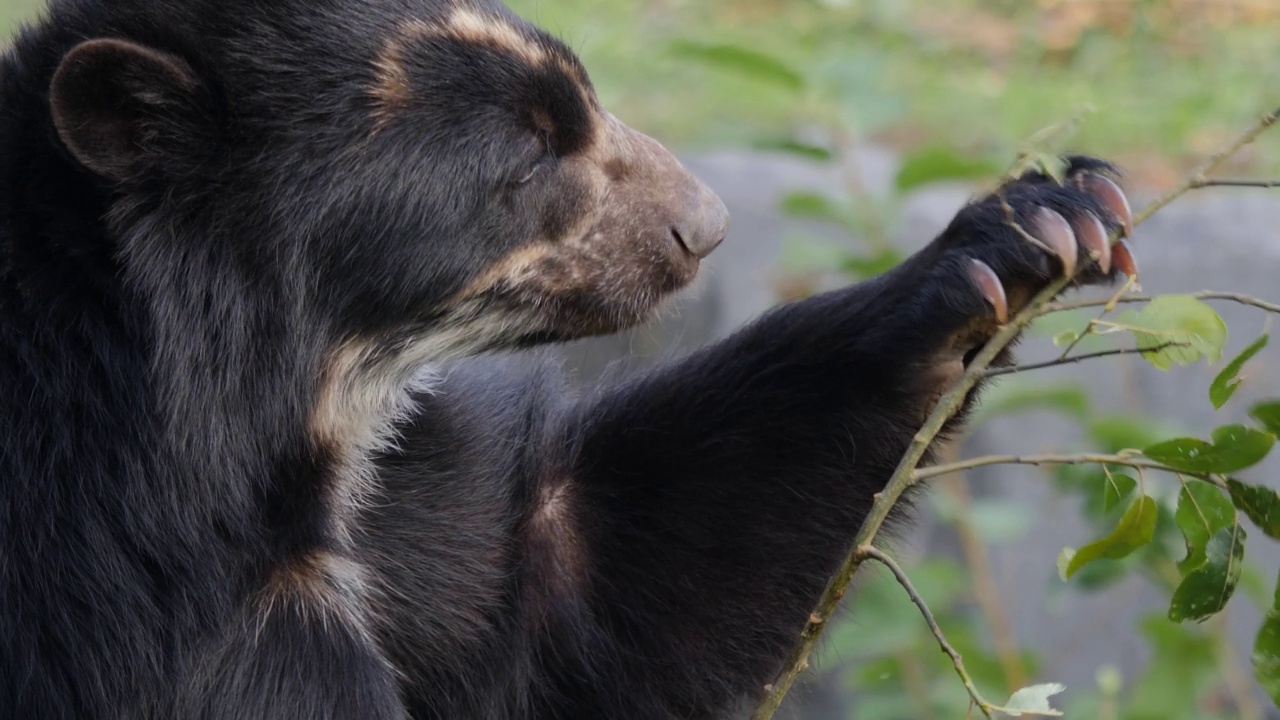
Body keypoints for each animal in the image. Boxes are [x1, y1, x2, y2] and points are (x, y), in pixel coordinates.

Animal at [0, 0, 1141, 712]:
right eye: (524, 157)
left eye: (579, 102)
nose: (706, 225)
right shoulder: (123, 596)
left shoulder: (395, 498)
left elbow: (585, 563)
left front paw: (1039, 225)